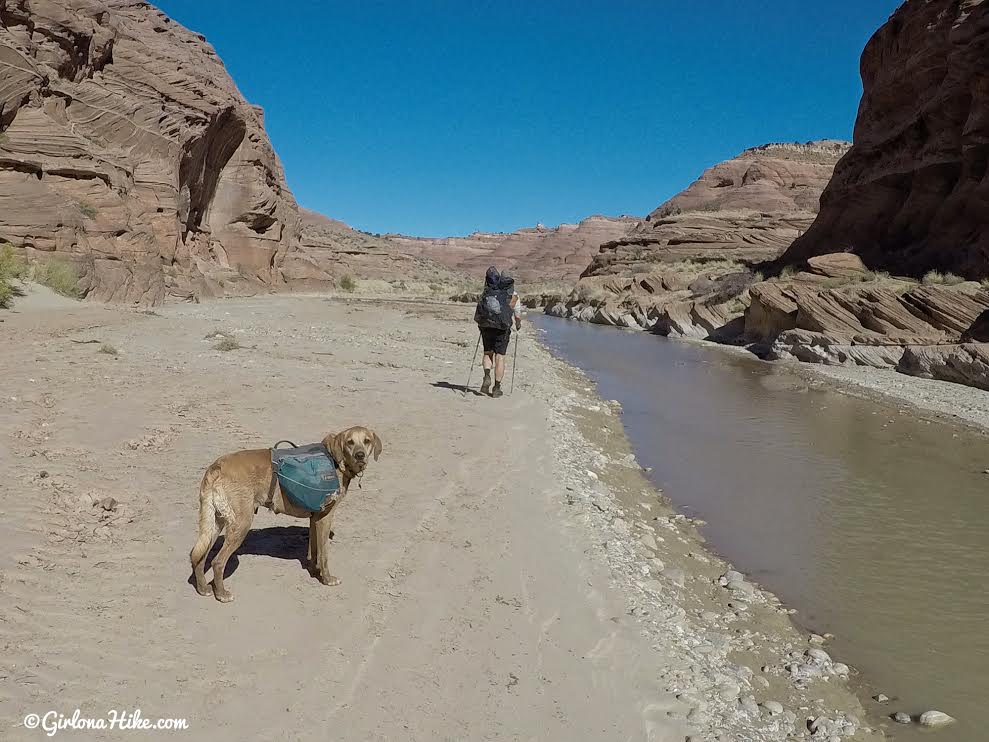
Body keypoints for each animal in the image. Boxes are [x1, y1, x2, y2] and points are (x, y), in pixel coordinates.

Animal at [189, 428, 382, 600]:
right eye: (350, 442)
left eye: (367, 441)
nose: (360, 455)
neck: (335, 459)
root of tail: (216, 466)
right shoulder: (325, 518)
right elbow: (324, 555)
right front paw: (327, 579)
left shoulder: (314, 518)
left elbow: (313, 551)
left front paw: (314, 571)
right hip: (241, 524)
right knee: (217, 562)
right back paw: (221, 594)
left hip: (215, 522)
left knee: (199, 556)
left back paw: (203, 588)